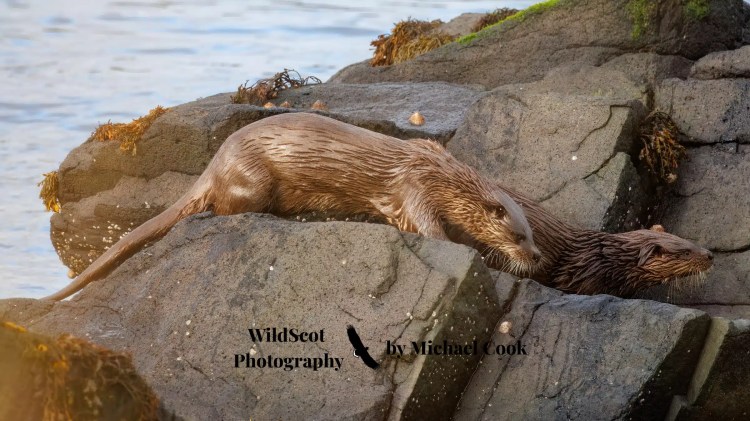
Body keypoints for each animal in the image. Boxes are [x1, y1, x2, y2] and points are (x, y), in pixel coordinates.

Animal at [44, 113, 541, 301]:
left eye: (533, 235)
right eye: (518, 236)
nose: (537, 258)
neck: (442, 175)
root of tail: (216, 162)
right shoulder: (413, 191)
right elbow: (427, 230)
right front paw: (477, 255)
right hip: (253, 180)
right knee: (223, 208)